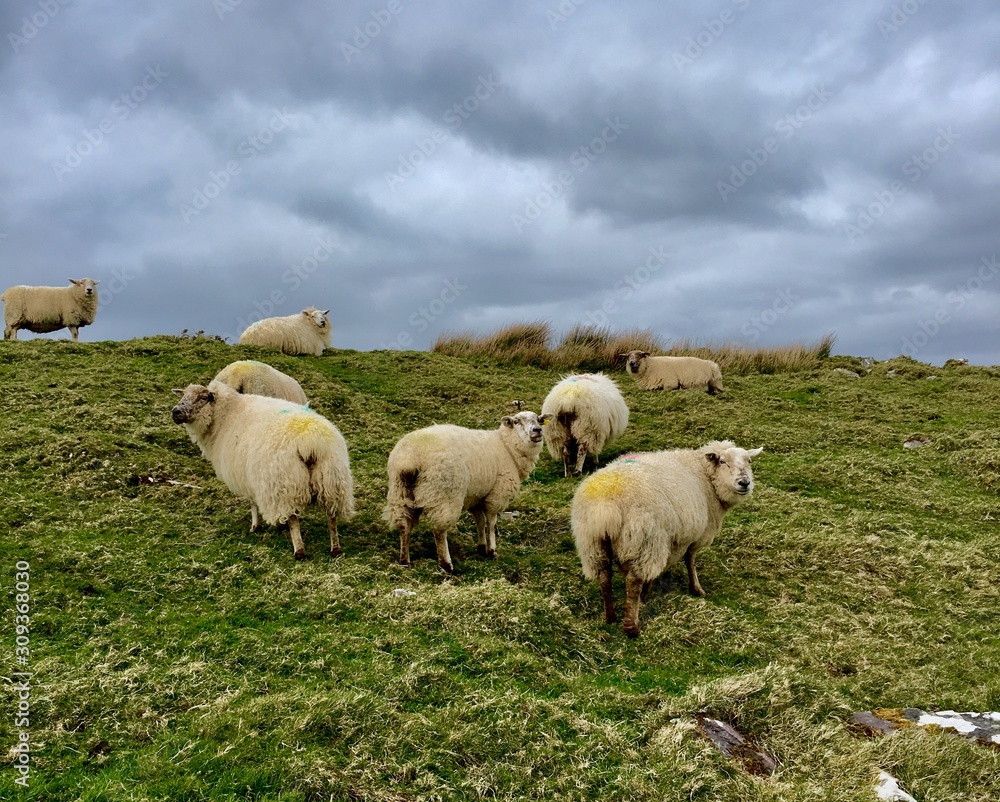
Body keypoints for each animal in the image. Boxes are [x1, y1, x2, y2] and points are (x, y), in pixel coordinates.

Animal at [171, 380, 354, 559]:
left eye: (202, 398)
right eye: (183, 395)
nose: (175, 412)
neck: (225, 415)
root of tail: (311, 442)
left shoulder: (247, 477)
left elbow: (252, 503)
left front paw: (255, 526)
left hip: (284, 482)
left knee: (294, 517)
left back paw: (299, 550)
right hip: (332, 478)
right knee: (331, 515)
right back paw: (335, 548)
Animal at [384, 410, 552, 573]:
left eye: (539, 419)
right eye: (517, 421)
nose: (537, 430)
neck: (507, 447)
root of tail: (408, 460)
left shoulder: (476, 497)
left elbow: (480, 522)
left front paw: (482, 548)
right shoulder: (496, 495)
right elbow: (491, 523)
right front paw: (492, 551)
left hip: (401, 493)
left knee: (404, 525)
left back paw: (405, 560)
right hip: (444, 494)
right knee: (439, 530)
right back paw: (446, 564)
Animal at [572, 440, 762, 636]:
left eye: (749, 461)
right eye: (723, 462)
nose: (744, 483)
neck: (704, 473)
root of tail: (605, 504)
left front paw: (647, 592)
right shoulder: (694, 536)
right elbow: (690, 561)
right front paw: (696, 589)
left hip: (593, 545)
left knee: (604, 577)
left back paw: (610, 617)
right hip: (643, 539)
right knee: (633, 581)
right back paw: (631, 626)